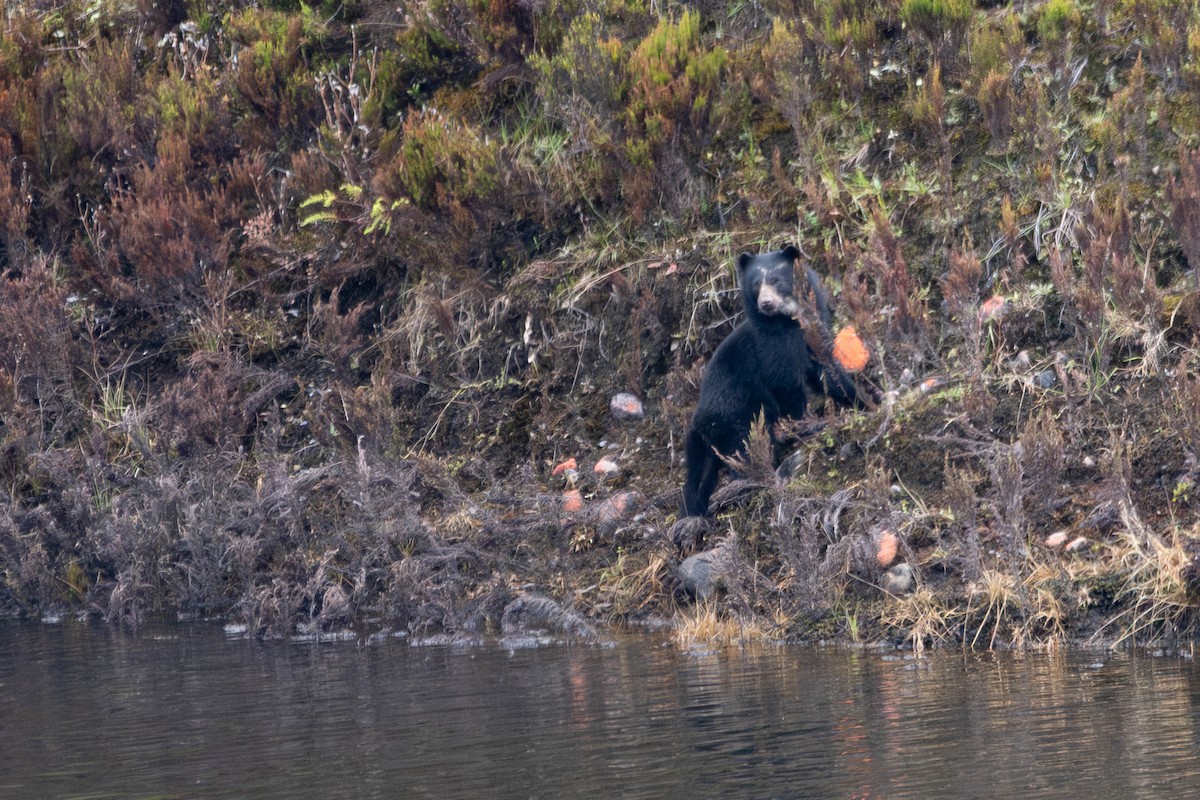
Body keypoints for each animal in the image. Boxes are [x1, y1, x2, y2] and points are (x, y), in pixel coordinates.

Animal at [680, 245, 860, 519]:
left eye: (775, 280)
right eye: (756, 284)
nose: (765, 303)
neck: (787, 322)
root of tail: (698, 422)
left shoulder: (814, 333)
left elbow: (828, 370)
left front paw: (864, 396)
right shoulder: (771, 349)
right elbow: (787, 386)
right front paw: (809, 424)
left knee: (701, 474)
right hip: (733, 415)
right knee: (742, 451)